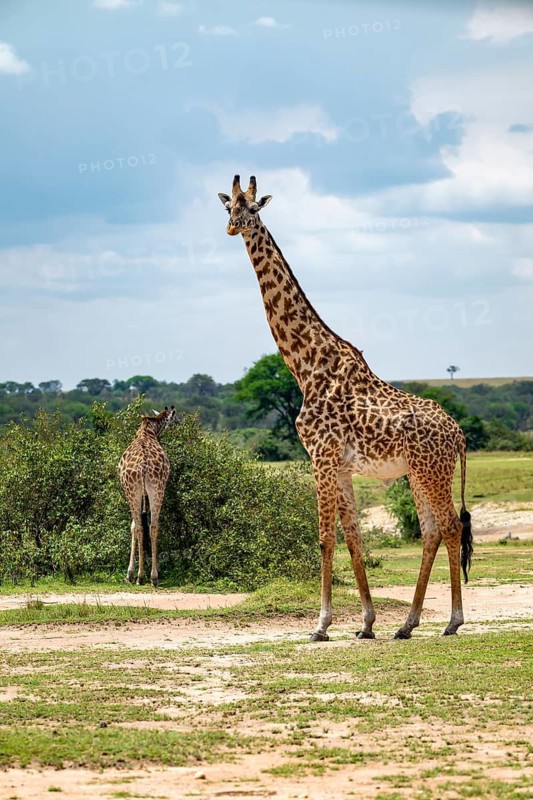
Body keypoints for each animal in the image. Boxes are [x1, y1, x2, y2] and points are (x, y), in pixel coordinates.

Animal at [119, 406, 176, 587]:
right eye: (175, 420)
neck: (148, 431)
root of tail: (143, 465)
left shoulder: (133, 493)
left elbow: (133, 526)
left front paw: (130, 573)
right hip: (156, 489)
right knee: (153, 526)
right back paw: (153, 576)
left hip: (134, 491)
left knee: (139, 527)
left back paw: (140, 576)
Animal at [218, 175, 473, 641]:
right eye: (229, 207)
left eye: (253, 209)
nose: (232, 228)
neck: (305, 366)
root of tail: (459, 433)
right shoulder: (339, 465)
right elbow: (353, 536)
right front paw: (367, 623)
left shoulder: (321, 457)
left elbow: (325, 537)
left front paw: (321, 625)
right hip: (418, 473)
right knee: (431, 531)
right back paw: (407, 624)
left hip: (432, 471)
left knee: (449, 527)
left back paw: (452, 621)